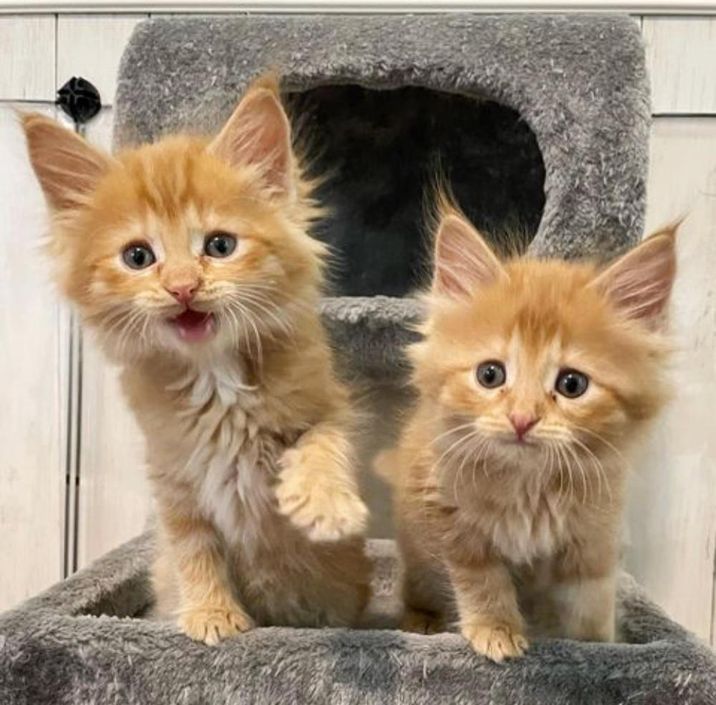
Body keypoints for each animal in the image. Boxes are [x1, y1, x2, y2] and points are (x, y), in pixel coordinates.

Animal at [384, 202, 676, 660]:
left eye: (572, 384)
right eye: (490, 375)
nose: (522, 419)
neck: (530, 485)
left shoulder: (595, 535)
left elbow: (589, 601)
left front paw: (597, 647)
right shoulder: (452, 517)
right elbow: (483, 580)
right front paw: (496, 629)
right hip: (416, 547)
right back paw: (422, 622)